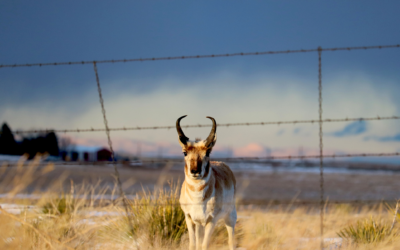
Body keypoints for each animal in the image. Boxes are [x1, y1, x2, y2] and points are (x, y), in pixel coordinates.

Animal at [177, 116, 236, 250]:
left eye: (207, 153)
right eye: (185, 152)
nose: (195, 171)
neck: (197, 198)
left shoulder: (211, 220)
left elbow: (204, 245)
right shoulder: (189, 218)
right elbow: (193, 245)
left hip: (230, 217)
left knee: (231, 241)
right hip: (199, 224)